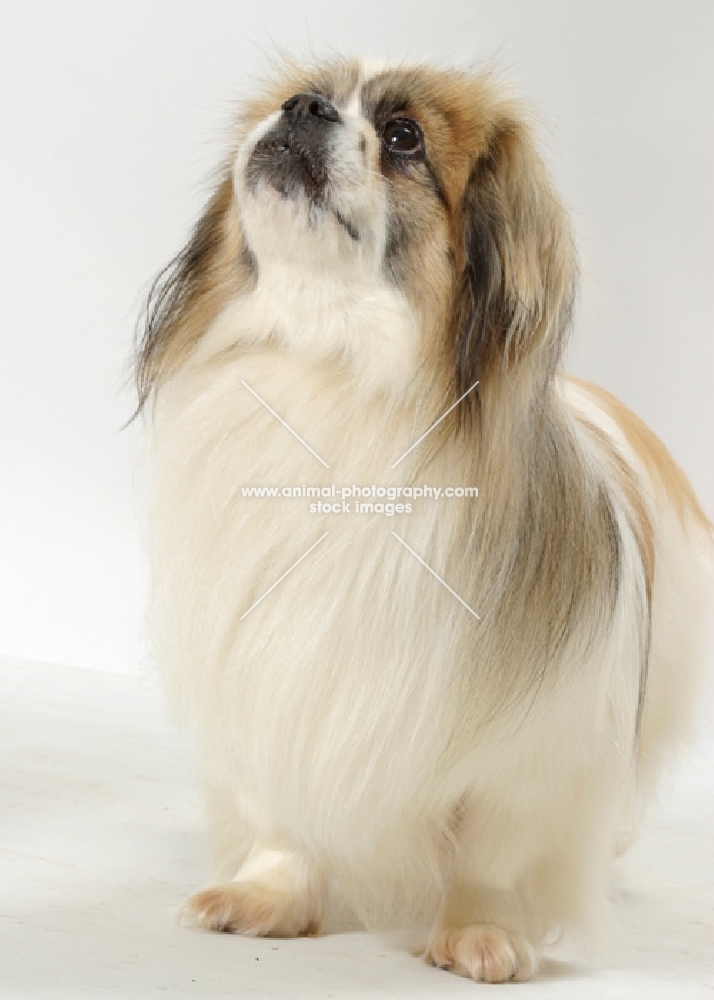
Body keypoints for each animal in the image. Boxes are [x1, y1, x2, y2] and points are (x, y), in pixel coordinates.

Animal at [135, 60, 712, 984]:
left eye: (403, 137)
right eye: (303, 95)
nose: (302, 108)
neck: (333, 368)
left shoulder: (533, 749)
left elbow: (494, 850)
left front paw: (482, 932)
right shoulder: (269, 676)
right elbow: (278, 813)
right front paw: (269, 896)